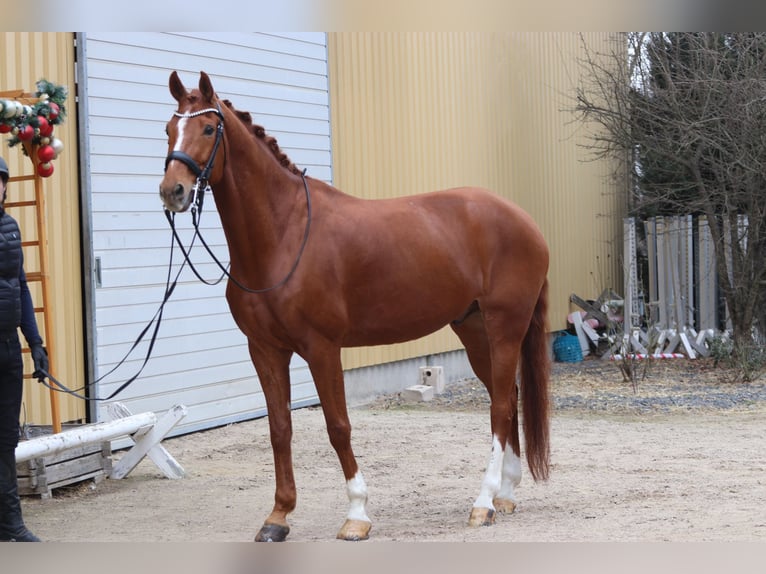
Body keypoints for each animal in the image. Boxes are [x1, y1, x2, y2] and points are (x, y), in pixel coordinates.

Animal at [159, 72, 552, 544]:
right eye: (168, 129)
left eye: (208, 128)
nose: (173, 191)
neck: (283, 235)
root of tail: (525, 221)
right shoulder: (265, 350)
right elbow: (280, 429)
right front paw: (278, 516)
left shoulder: (322, 348)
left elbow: (338, 426)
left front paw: (357, 514)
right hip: (474, 331)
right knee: (506, 397)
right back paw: (505, 493)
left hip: (505, 326)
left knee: (499, 408)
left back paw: (484, 502)